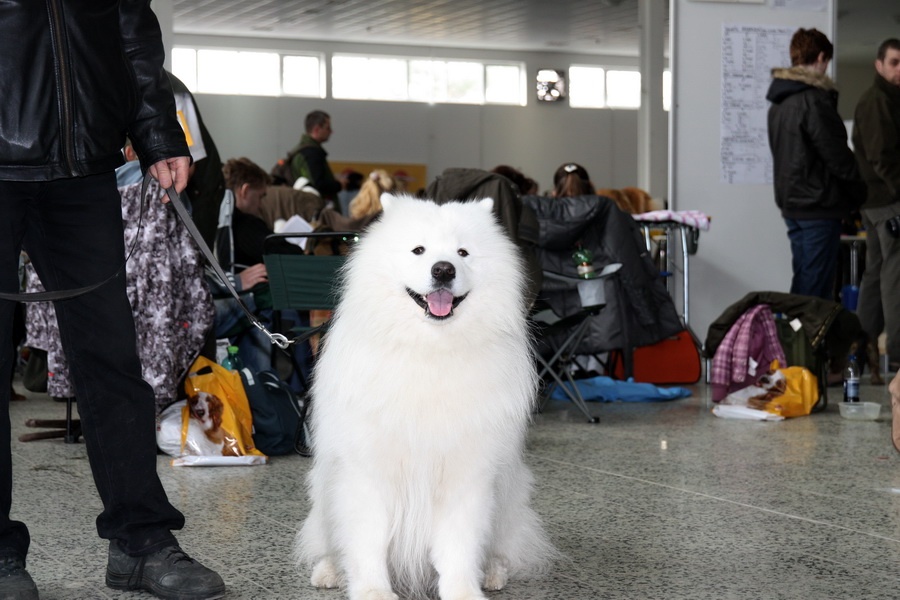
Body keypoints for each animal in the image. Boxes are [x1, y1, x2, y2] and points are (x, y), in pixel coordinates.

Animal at [298, 195, 548, 596]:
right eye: (419, 250)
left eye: (462, 252)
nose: (443, 270)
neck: (430, 349)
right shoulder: (367, 473)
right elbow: (367, 543)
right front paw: (373, 592)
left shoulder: (467, 474)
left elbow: (459, 546)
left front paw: (463, 591)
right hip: (324, 493)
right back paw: (331, 571)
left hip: (508, 497)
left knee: (501, 547)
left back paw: (492, 572)